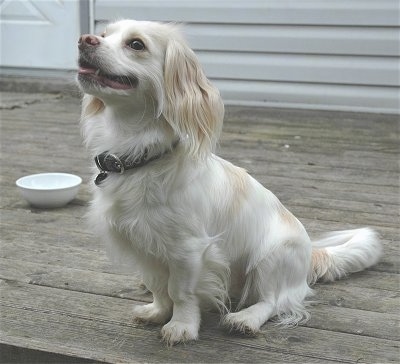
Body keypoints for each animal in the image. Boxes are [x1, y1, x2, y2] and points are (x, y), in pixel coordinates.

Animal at [77, 19, 382, 344]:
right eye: (105, 34)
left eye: (136, 44)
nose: (85, 39)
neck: (138, 156)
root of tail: (311, 252)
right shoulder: (142, 245)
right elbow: (159, 286)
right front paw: (157, 312)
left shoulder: (188, 250)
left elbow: (180, 292)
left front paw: (182, 326)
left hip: (271, 258)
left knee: (273, 301)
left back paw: (245, 319)